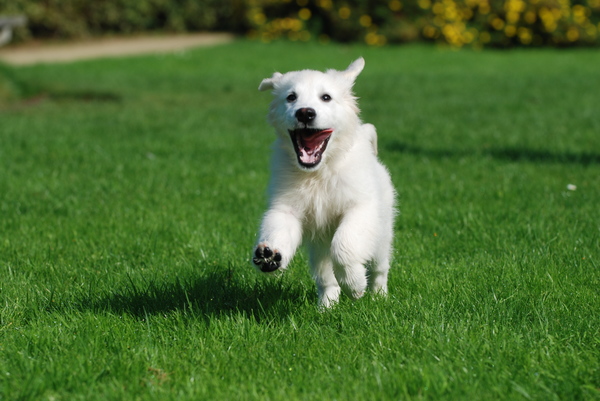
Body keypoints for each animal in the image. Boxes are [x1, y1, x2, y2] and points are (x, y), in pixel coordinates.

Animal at [252, 57, 396, 306]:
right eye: (291, 97)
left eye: (326, 97)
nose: (305, 113)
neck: (319, 173)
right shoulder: (286, 207)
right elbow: (278, 227)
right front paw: (269, 254)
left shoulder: (361, 208)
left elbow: (344, 245)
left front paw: (355, 284)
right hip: (319, 246)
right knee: (326, 278)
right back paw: (326, 306)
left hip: (381, 233)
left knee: (380, 267)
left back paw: (379, 295)